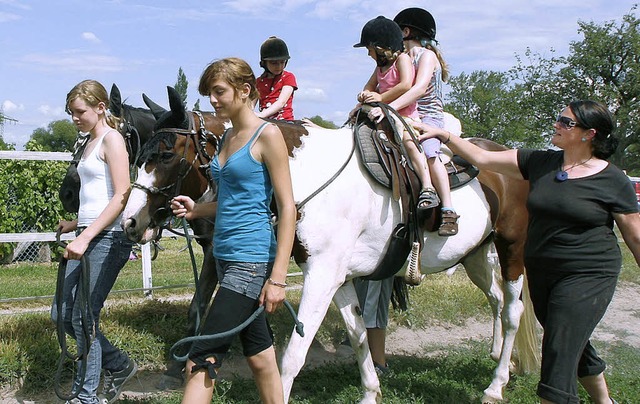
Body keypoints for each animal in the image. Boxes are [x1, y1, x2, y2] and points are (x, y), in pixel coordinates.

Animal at [122, 87, 536, 402]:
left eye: (166, 154)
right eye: (140, 153)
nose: (130, 221)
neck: (304, 175)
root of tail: (511, 157)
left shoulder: (322, 275)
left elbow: (293, 355)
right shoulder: (339, 277)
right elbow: (358, 334)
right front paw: (370, 393)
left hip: (512, 247)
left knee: (512, 310)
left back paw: (495, 386)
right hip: (476, 255)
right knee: (496, 300)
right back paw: (500, 357)